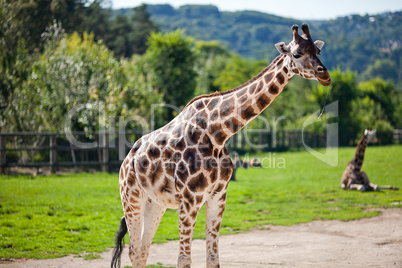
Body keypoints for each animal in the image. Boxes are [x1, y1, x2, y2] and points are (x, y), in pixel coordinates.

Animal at [111, 23, 332, 268]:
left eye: (318, 51)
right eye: (297, 54)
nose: (324, 75)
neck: (218, 133)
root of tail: (127, 159)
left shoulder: (218, 196)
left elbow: (213, 260)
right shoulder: (190, 200)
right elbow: (184, 260)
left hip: (155, 203)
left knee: (142, 251)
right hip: (131, 197)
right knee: (134, 250)